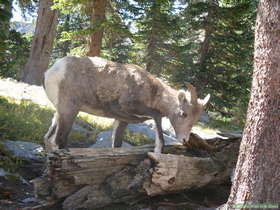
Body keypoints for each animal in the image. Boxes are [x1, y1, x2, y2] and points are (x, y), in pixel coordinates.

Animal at [43, 56, 210, 153]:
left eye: (196, 119)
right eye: (183, 114)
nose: (184, 140)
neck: (152, 89)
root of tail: (51, 71)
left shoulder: (122, 120)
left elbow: (116, 145)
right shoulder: (127, 106)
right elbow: (156, 116)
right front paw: (158, 149)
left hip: (59, 113)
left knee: (48, 139)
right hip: (69, 111)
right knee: (59, 140)